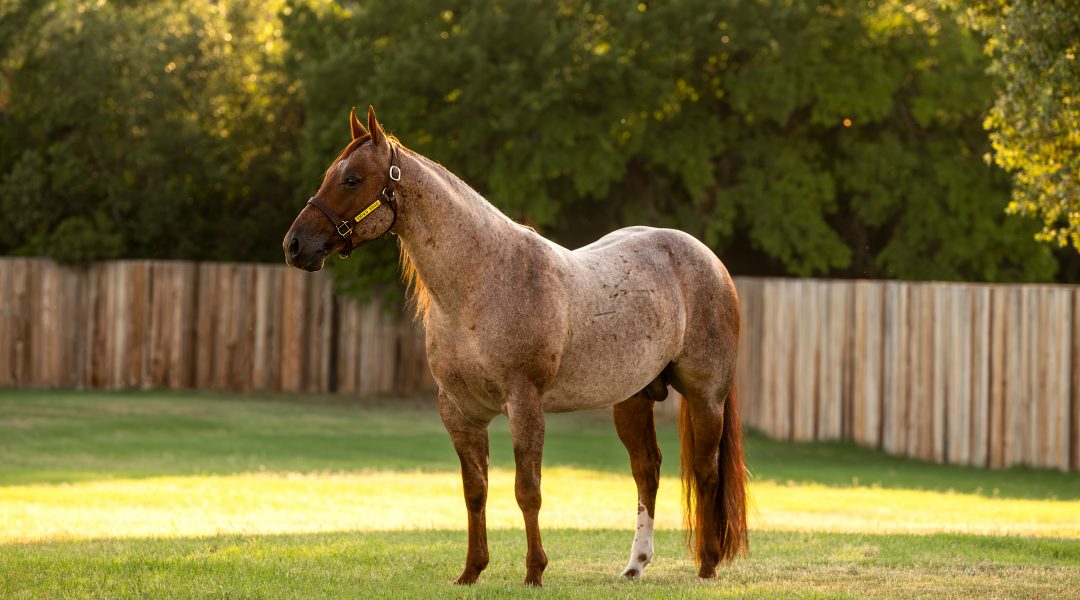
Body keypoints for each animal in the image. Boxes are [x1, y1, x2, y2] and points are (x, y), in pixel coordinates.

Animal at [283, 106, 748, 586]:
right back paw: (635, 564)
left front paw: (534, 572)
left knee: (705, 472)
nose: (295, 245)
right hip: (633, 400)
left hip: (705, 397)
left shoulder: (524, 403)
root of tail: (710, 262)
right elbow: (475, 491)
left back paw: (708, 564)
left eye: (352, 179)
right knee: (647, 470)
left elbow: (528, 490)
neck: (481, 283)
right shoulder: (460, 411)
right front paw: (471, 570)